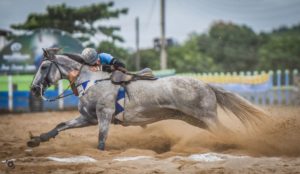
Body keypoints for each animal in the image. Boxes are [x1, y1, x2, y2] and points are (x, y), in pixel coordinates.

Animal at [28, 49, 268, 150]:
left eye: (43, 66)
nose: (33, 89)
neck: (93, 80)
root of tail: (207, 85)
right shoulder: (88, 118)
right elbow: (60, 125)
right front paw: (36, 140)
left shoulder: (103, 116)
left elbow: (101, 140)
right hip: (195, 120)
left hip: (207, 118)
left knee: (227, 132)